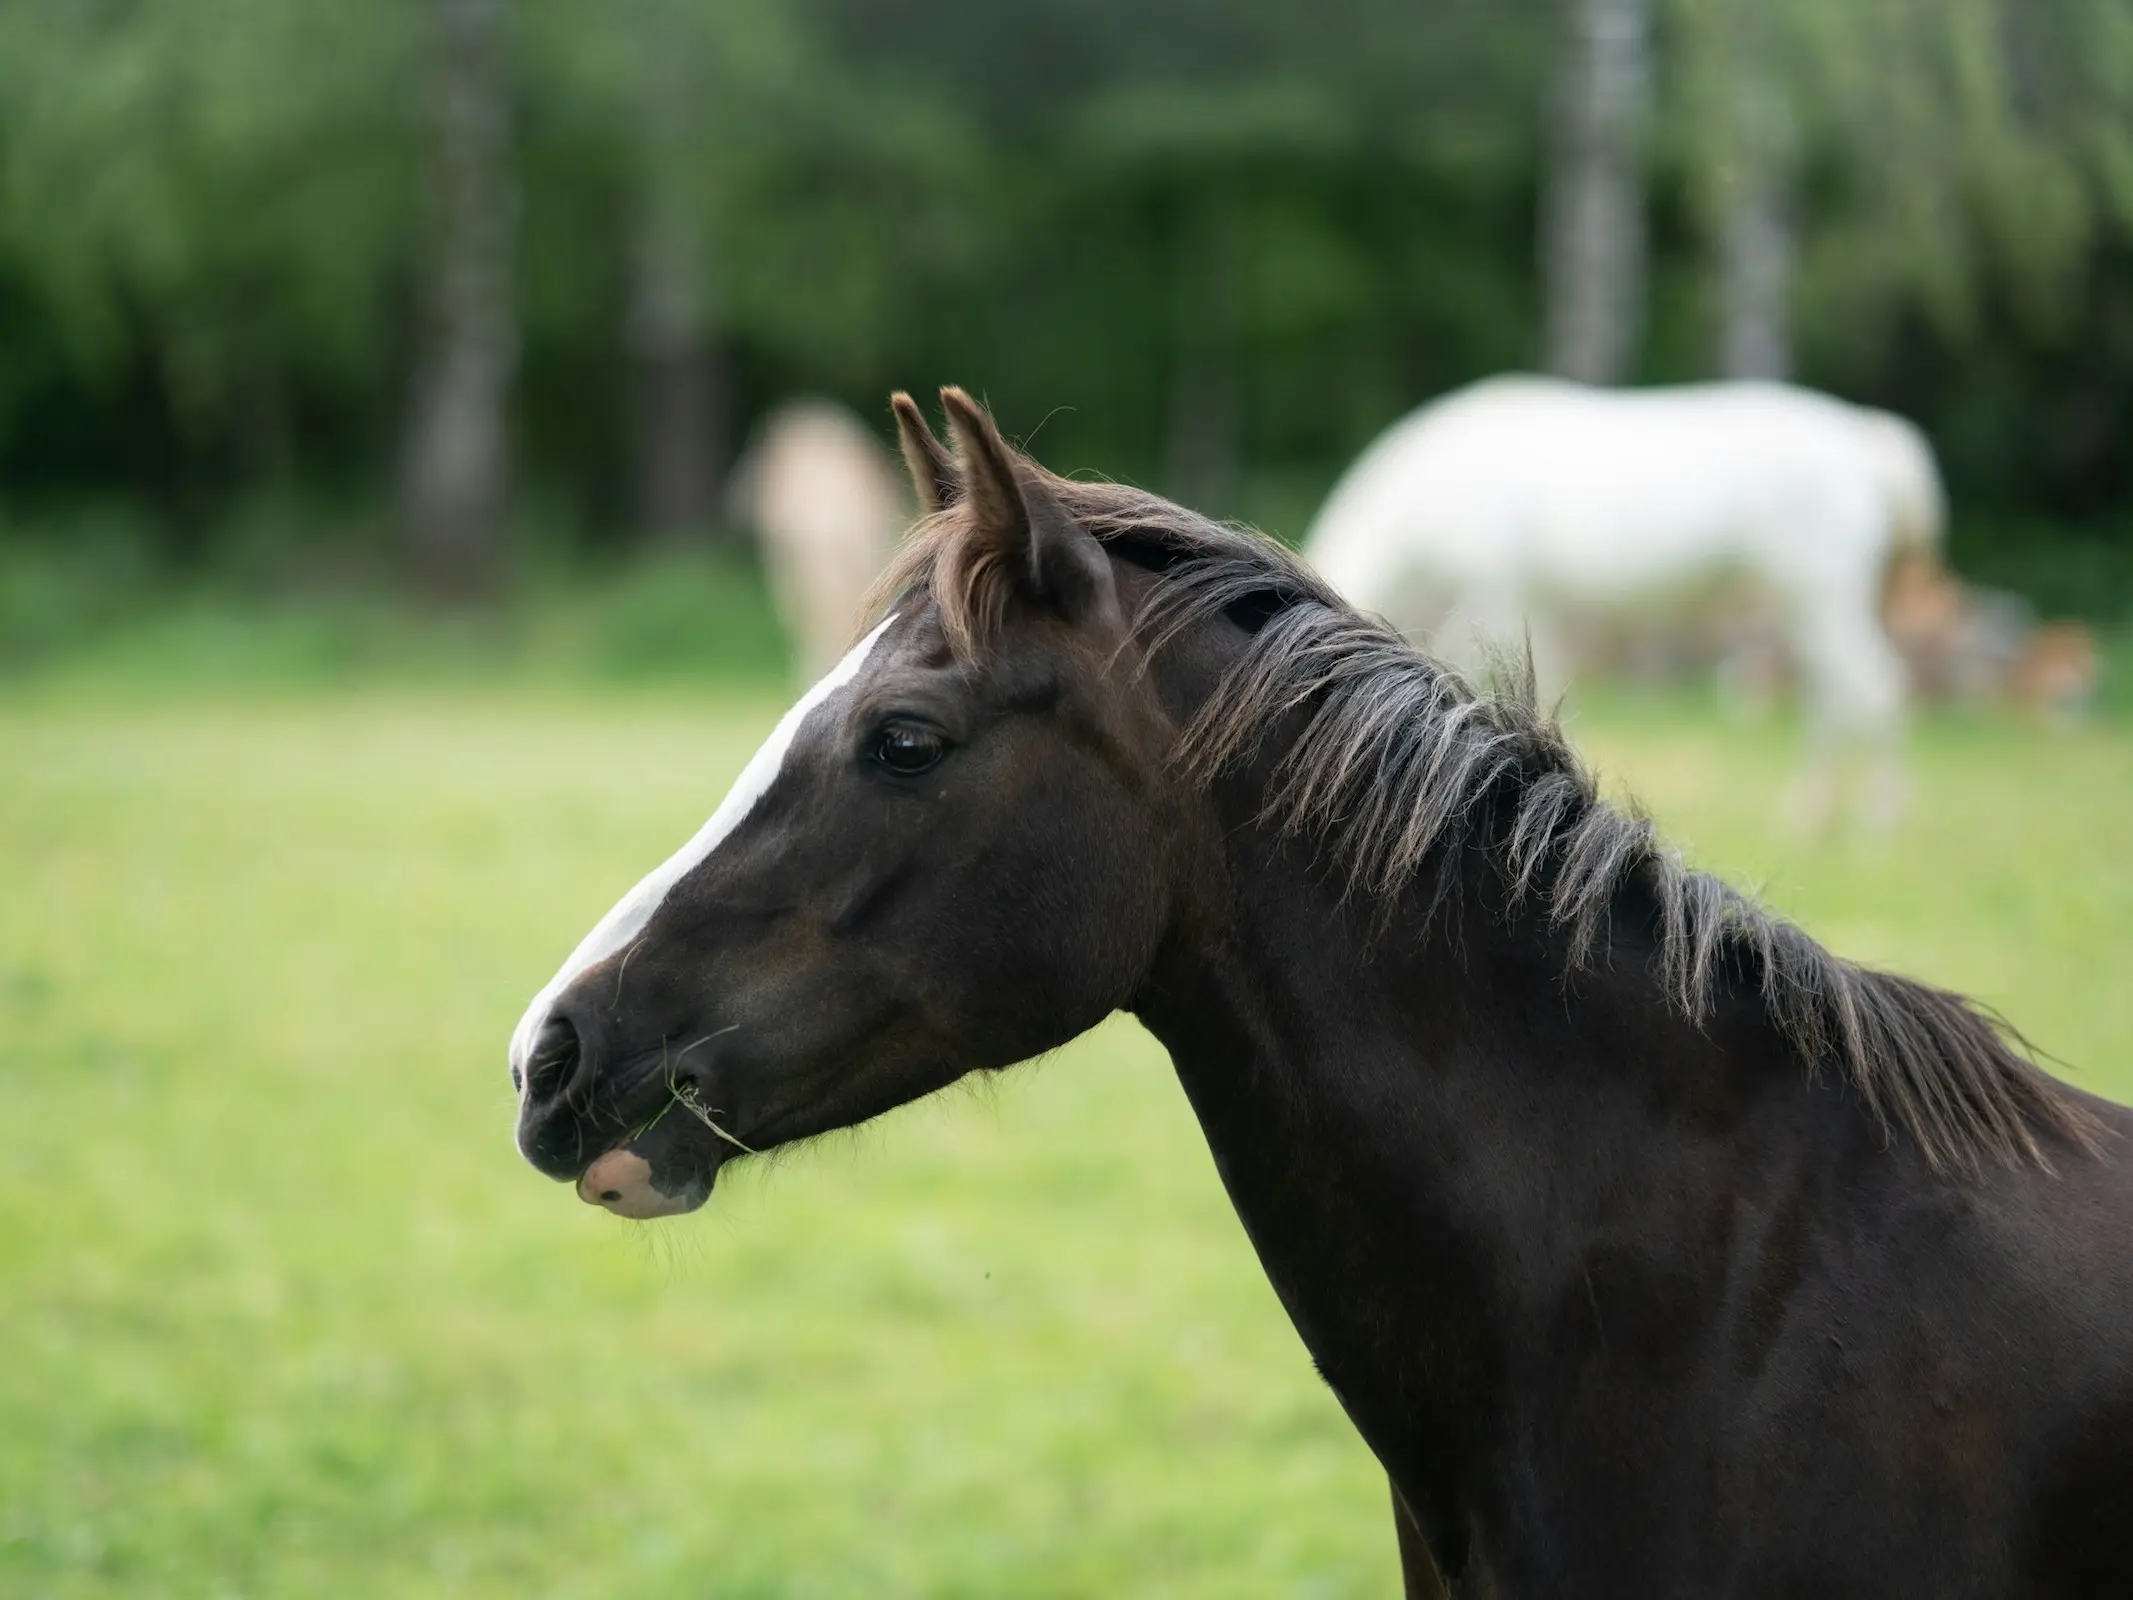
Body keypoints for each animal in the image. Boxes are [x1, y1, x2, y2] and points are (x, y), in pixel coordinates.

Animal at [1296, 375, 1953, 827]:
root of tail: (1863, 443)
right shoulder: (1532, 607)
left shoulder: (1502, 592)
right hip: (1806, 606)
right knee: (1836, 696)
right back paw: (1811, 812)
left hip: (1820, 600)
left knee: (1873, 688)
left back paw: (1877, 820)